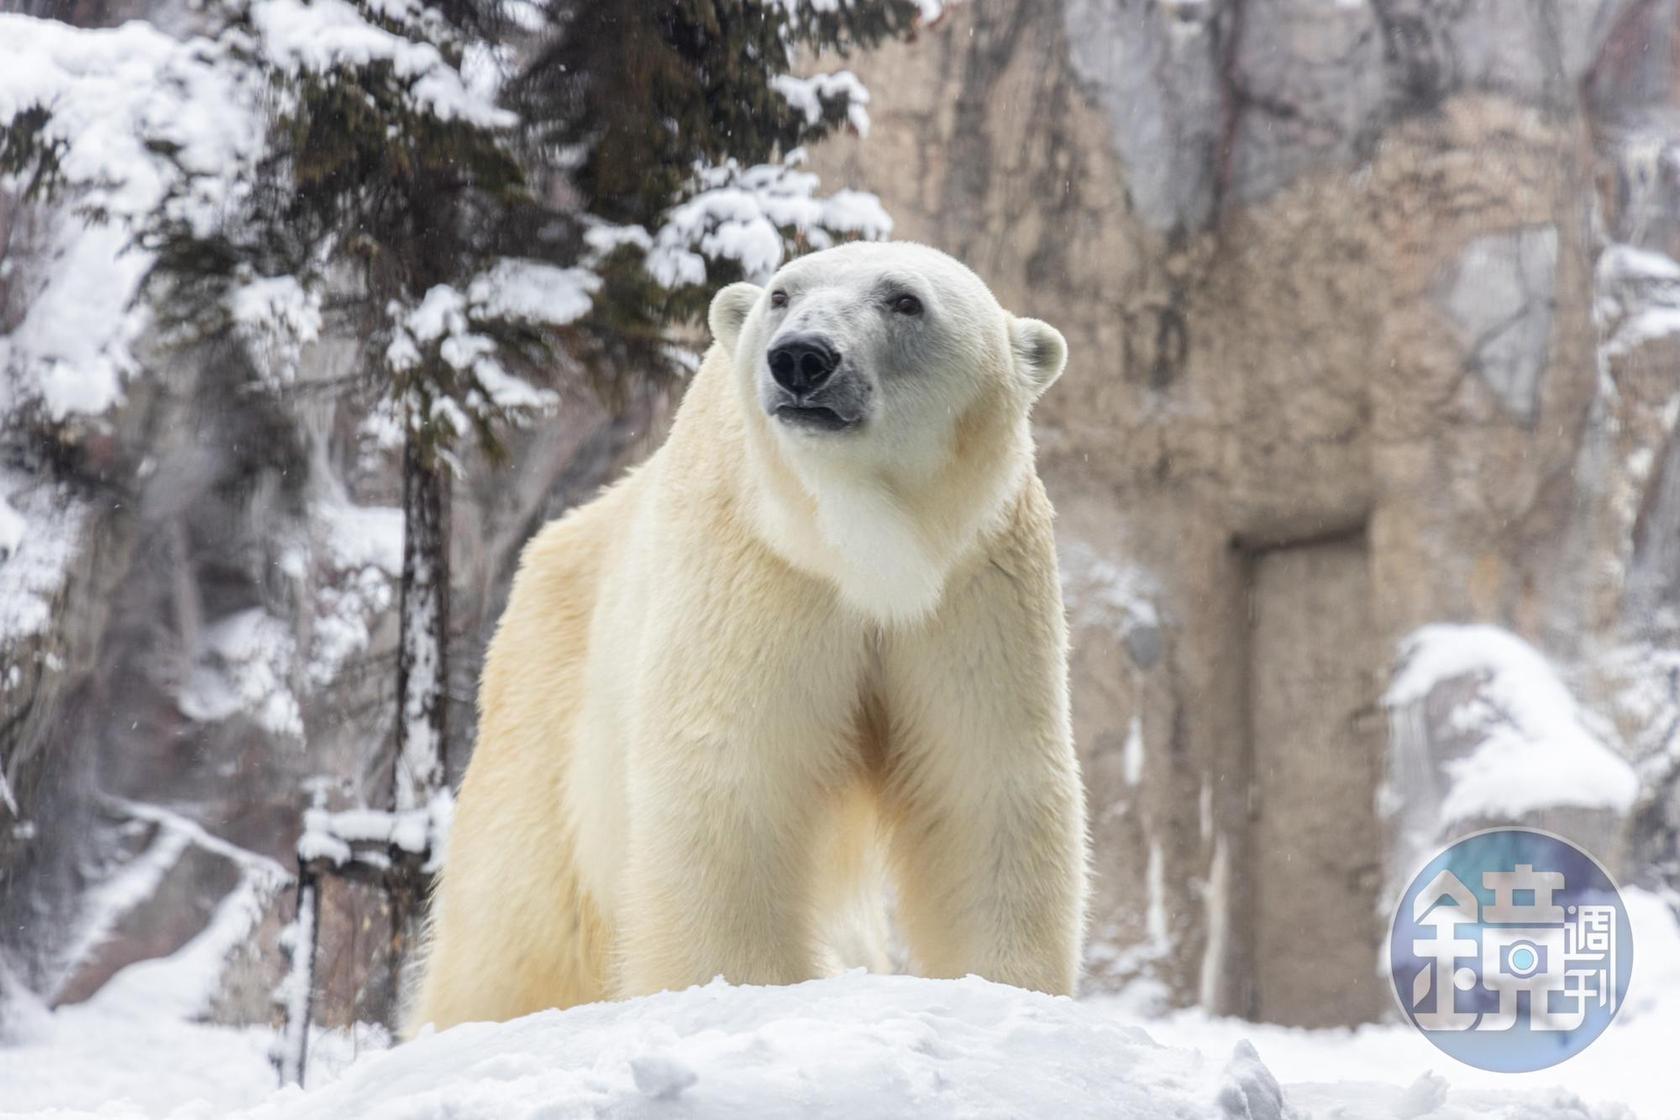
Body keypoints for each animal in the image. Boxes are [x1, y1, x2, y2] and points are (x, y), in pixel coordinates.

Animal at [409, 241, 1088, 1031]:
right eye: (781, 295)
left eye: (905, 300)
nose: (801, 358)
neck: (861, 547)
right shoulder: (756, 570)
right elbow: (732, 772)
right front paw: (738, 987)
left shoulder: (974, 587)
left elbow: (984, 783)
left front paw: (1008, 991)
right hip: (549, 707)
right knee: (514, 915)